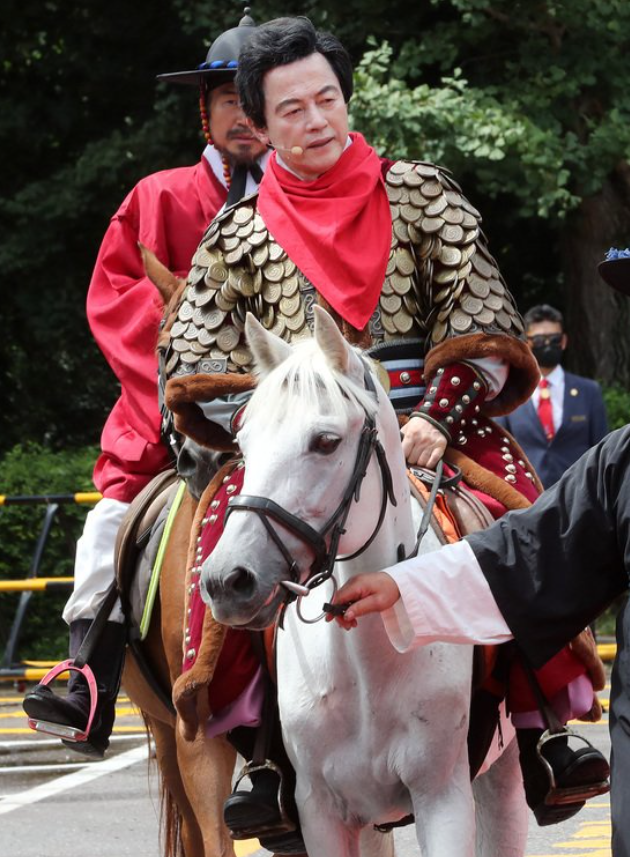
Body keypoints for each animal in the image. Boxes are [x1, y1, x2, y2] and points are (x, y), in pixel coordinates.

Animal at [201, 308, 528, 856]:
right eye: (243, 444)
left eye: (326, 441)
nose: (228, 580)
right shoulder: (322, 811)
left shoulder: (443, 796)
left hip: (501, 776)